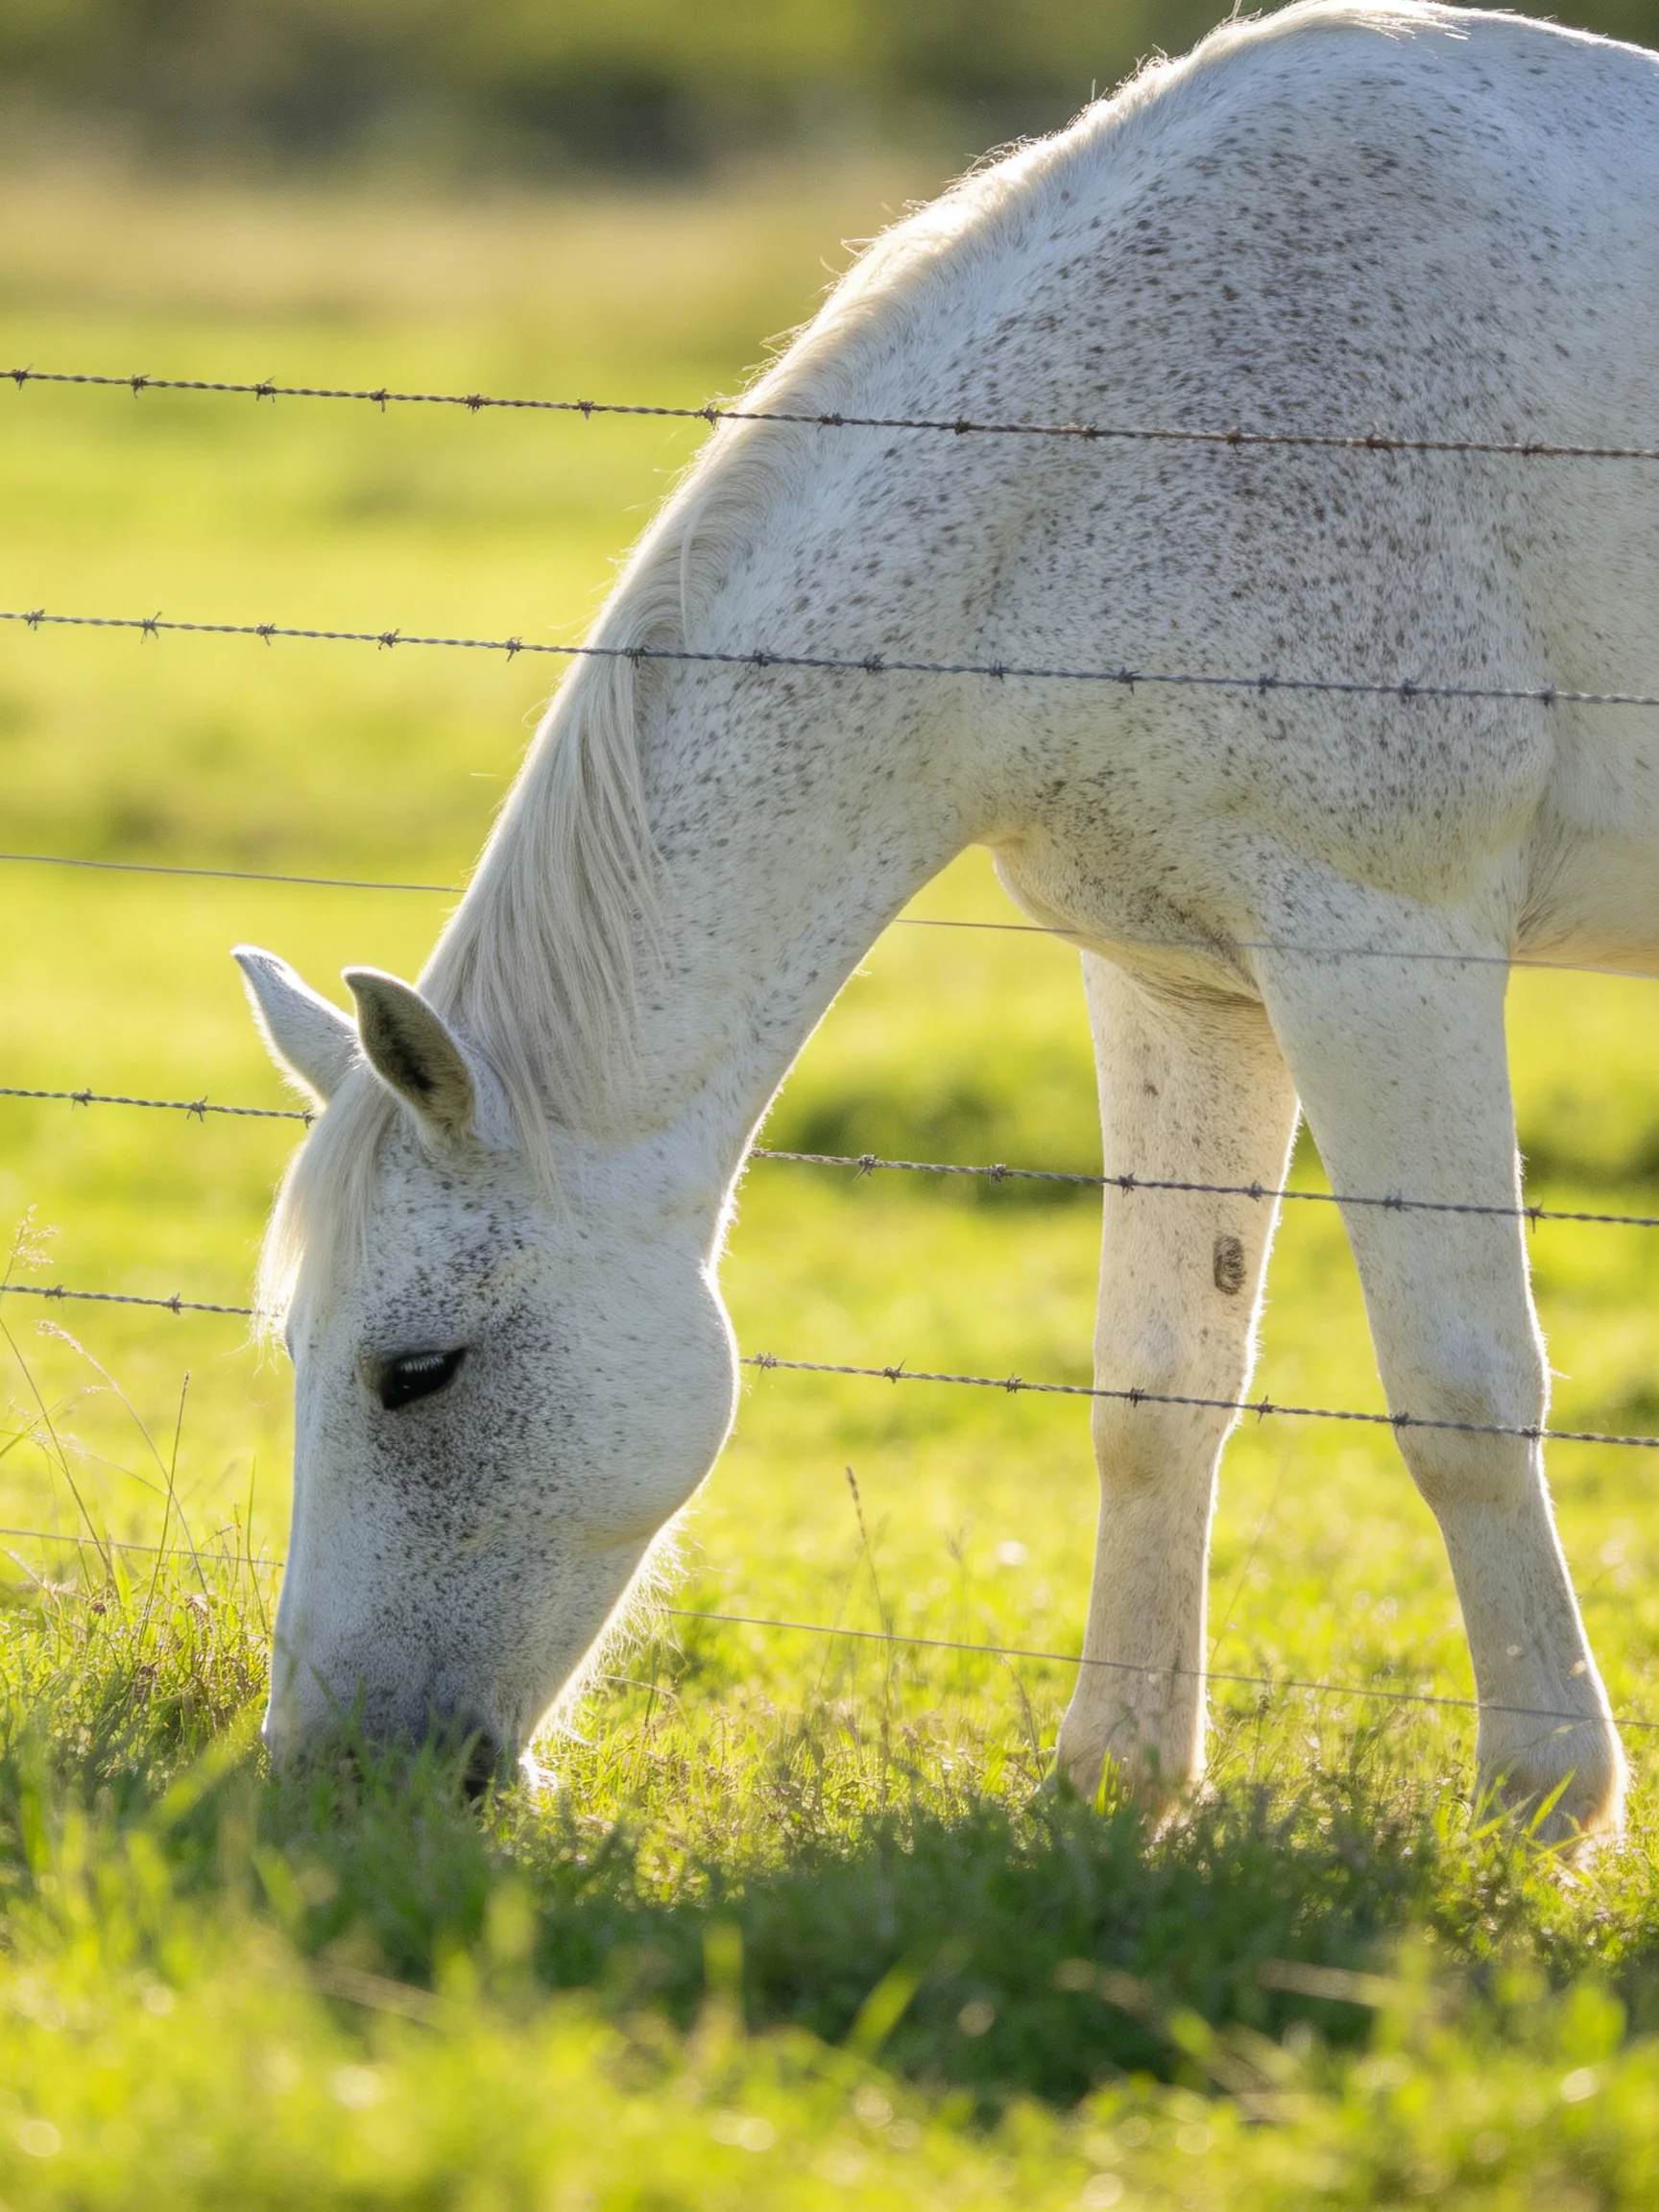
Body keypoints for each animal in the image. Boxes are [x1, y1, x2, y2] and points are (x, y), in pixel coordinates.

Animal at [237, 0, 1659, 1841]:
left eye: (418, 1369)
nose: (332, 1772)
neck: (1125, 439)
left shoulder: (1381, 946)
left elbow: (1463, 1388)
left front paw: (1542, 1802)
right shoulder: (1180, 981)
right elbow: (1157, 1383)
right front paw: (1120, 1782)